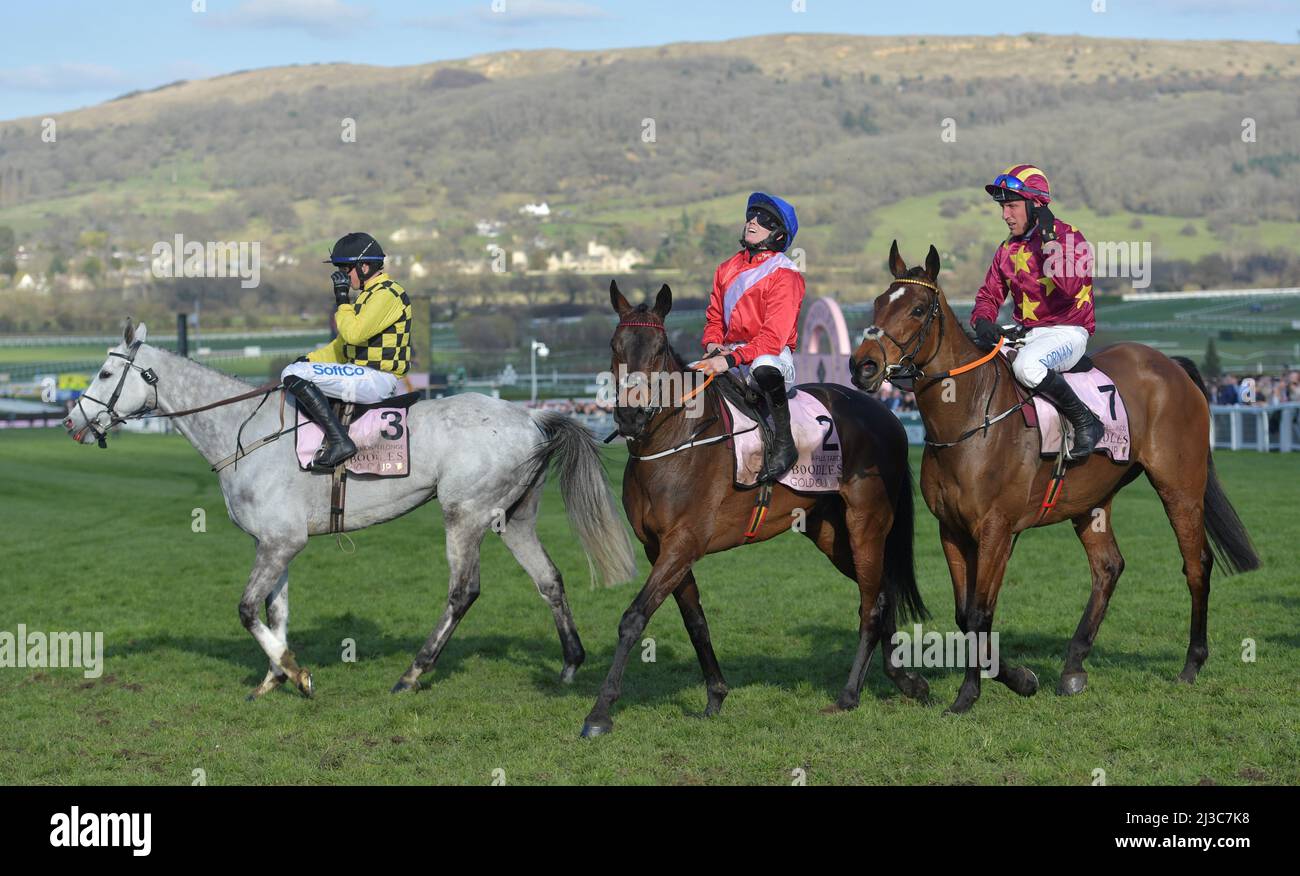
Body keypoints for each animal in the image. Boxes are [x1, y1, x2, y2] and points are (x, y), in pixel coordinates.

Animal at [64, 321, 634, 696]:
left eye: (104, 373)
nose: (72, 421)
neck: (245, 432)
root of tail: (532, 417)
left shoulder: (279, 542)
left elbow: (248, 610)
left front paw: (294, 673)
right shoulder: (276, 544)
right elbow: (276, 611)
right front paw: (276, 676)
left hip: (465, 515)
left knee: (463, 592)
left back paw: (412, 673)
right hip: (511, 519)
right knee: (549, 580)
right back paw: (570, 665)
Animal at [577, 283, 925, 733]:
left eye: (657, 350)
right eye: (615, 346)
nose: (631, 415)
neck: (677, 440)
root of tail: (886, 414)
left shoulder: (683, 542)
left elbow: (634, 617)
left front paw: (600, 711)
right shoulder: (661, 548)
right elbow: (695, 621)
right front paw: (715, 695)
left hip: (866, 524)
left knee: (873, 603)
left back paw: (850, 695)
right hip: (832, 534)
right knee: (881, 591)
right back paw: (905, 679)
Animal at [847, 240, 1263, 707]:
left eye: (918, 309)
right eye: (878, 303)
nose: (863, 366)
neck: (971, 418)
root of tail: (1170, 366)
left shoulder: (997, 530)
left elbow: (980, 611)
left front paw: (971, 693)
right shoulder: (951, 530)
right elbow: (964, 612)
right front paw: (1016, 677)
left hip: (1180, 486)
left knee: (1197, 564)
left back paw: (1191, 663)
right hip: (1091, 500)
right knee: (1108, 567)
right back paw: (1074, 666)